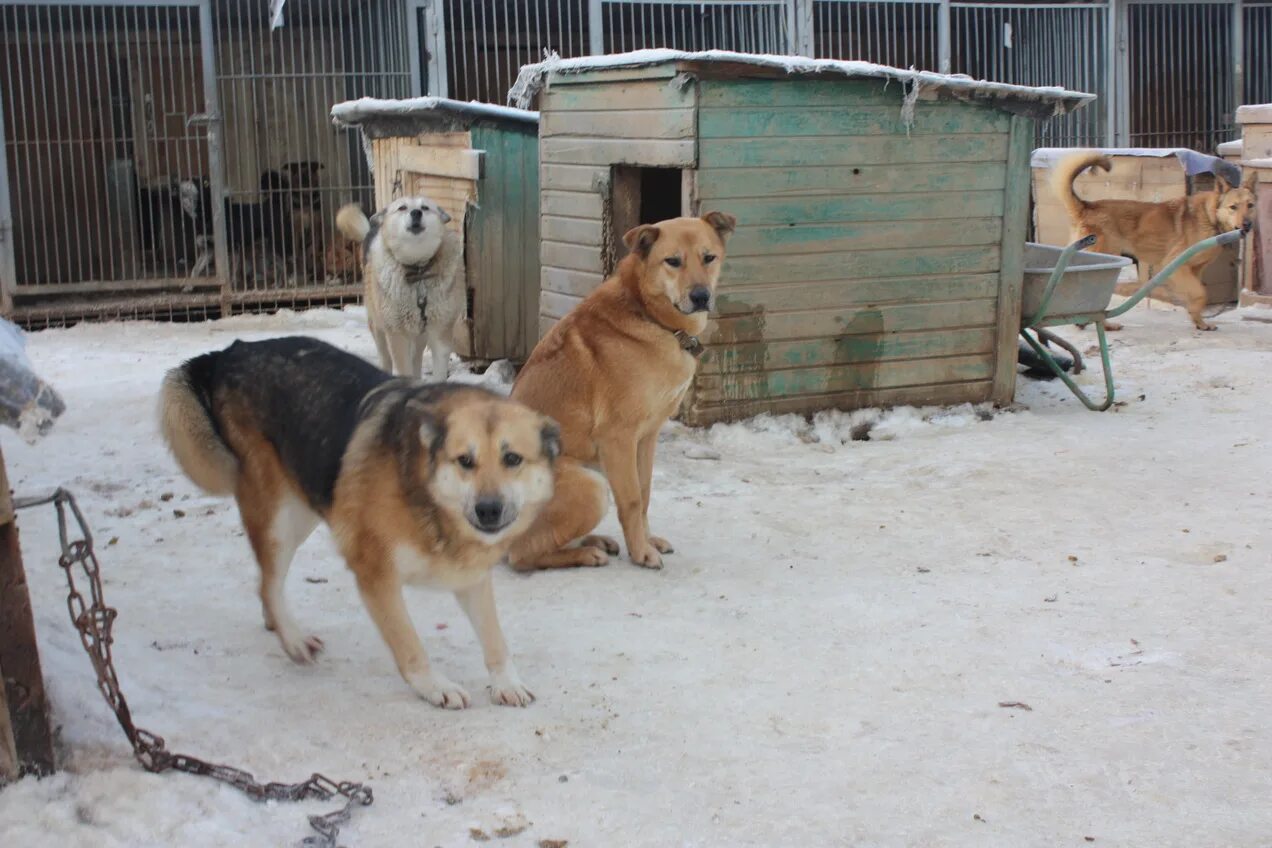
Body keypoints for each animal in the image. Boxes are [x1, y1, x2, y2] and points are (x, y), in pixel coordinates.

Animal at [159, 338, 557, 711]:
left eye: (512, 459)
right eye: (465, 461)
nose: (488, 510)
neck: (426, 498)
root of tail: (228, 352)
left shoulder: (470, 578)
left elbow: (495, 638)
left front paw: (507, 682)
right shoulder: (376, 576)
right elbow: (409, 645)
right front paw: (435, 687)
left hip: (306, 503)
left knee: (266, 584)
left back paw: (275, 624)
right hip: (279, 518)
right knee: (269, 583)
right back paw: (292, 638)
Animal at [335, 197, 465, 376]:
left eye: (425, 207)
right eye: (402, 207)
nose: (416, 213)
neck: (417, 271)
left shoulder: (440, 332)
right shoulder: (397, 334)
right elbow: (404, 368)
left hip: (419, 335)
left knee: (416, 359)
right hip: (378, 327)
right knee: (386, 358)